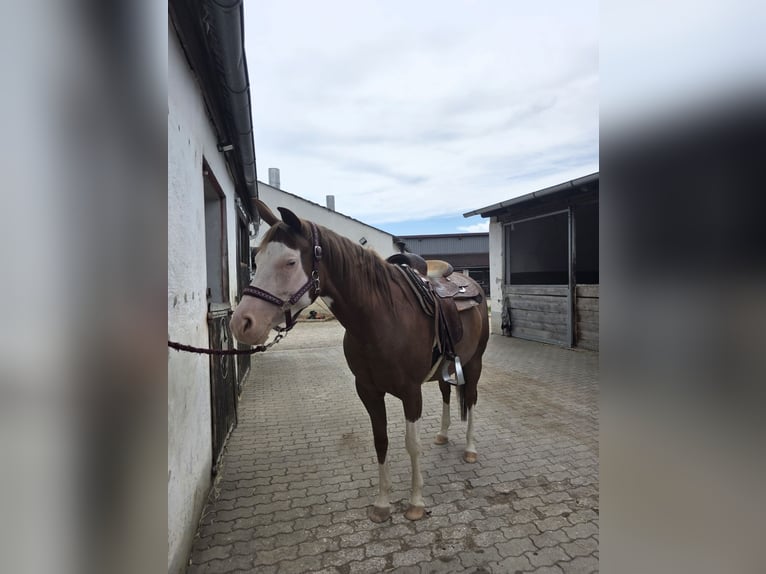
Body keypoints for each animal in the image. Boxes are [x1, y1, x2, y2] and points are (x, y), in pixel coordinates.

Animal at [230, 200, 489, 522]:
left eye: (290, 262)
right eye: (256, 258)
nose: (242, 323)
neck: (382, 317)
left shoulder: (410, 393)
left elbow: (412, 445)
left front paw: (416, 503)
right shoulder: (368, 390)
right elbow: (381, 441)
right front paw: (382, 504)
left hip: (474, 363)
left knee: (472, 399)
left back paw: (470, 449)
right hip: (446, 366)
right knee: (445, 393)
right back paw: (442, 435)